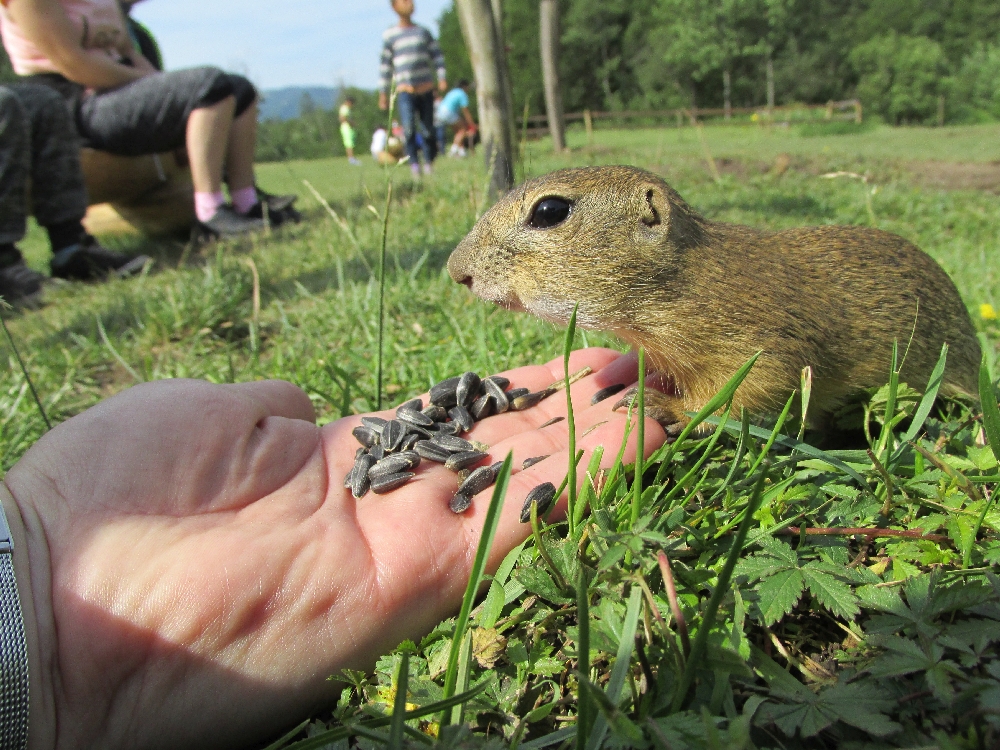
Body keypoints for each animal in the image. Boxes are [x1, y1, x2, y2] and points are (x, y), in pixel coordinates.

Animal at [447, 165, 981, 432]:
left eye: (549, 211)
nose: (457, 271)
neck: (683, 282)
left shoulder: (758, 345)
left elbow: (753, 386)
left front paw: (665, 407)